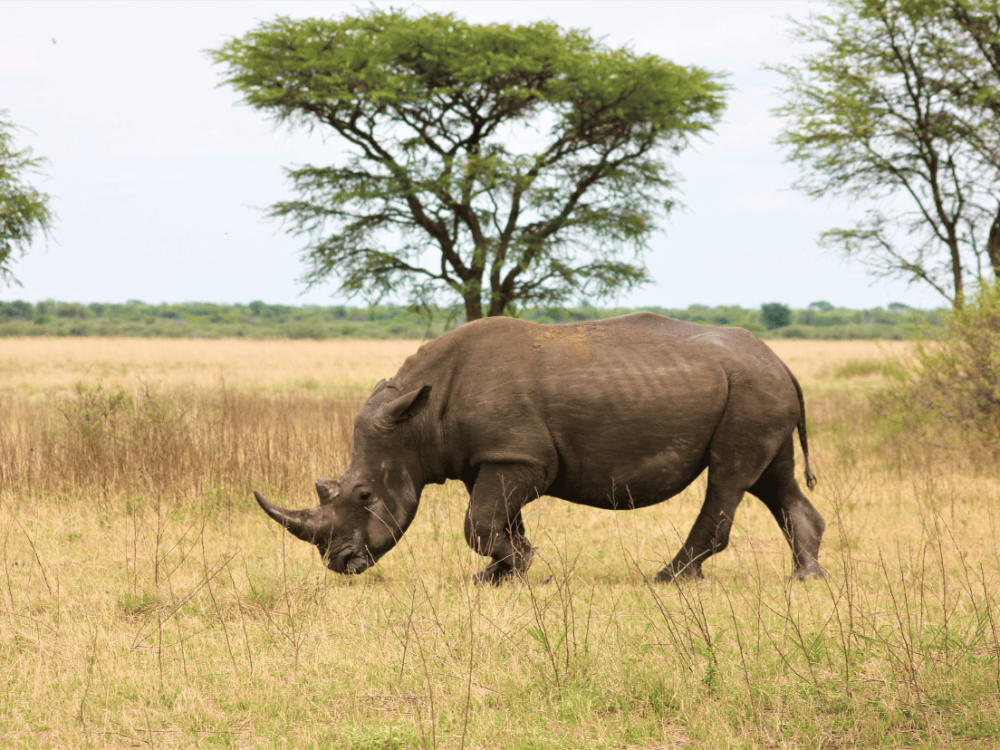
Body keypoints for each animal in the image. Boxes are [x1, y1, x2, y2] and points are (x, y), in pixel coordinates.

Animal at [254, 312, 826, 584]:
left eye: (366, 496)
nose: (340, 564)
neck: (416, 421)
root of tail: (781, 361)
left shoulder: (519, 456)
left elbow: (479, 523)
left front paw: (522, 567)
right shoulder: (495, 457)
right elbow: (498, 521)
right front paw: (502, 574)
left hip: (750, 390)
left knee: (729, 476)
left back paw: (670, 579)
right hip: (758, 389)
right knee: (771, 478)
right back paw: (806, 577)